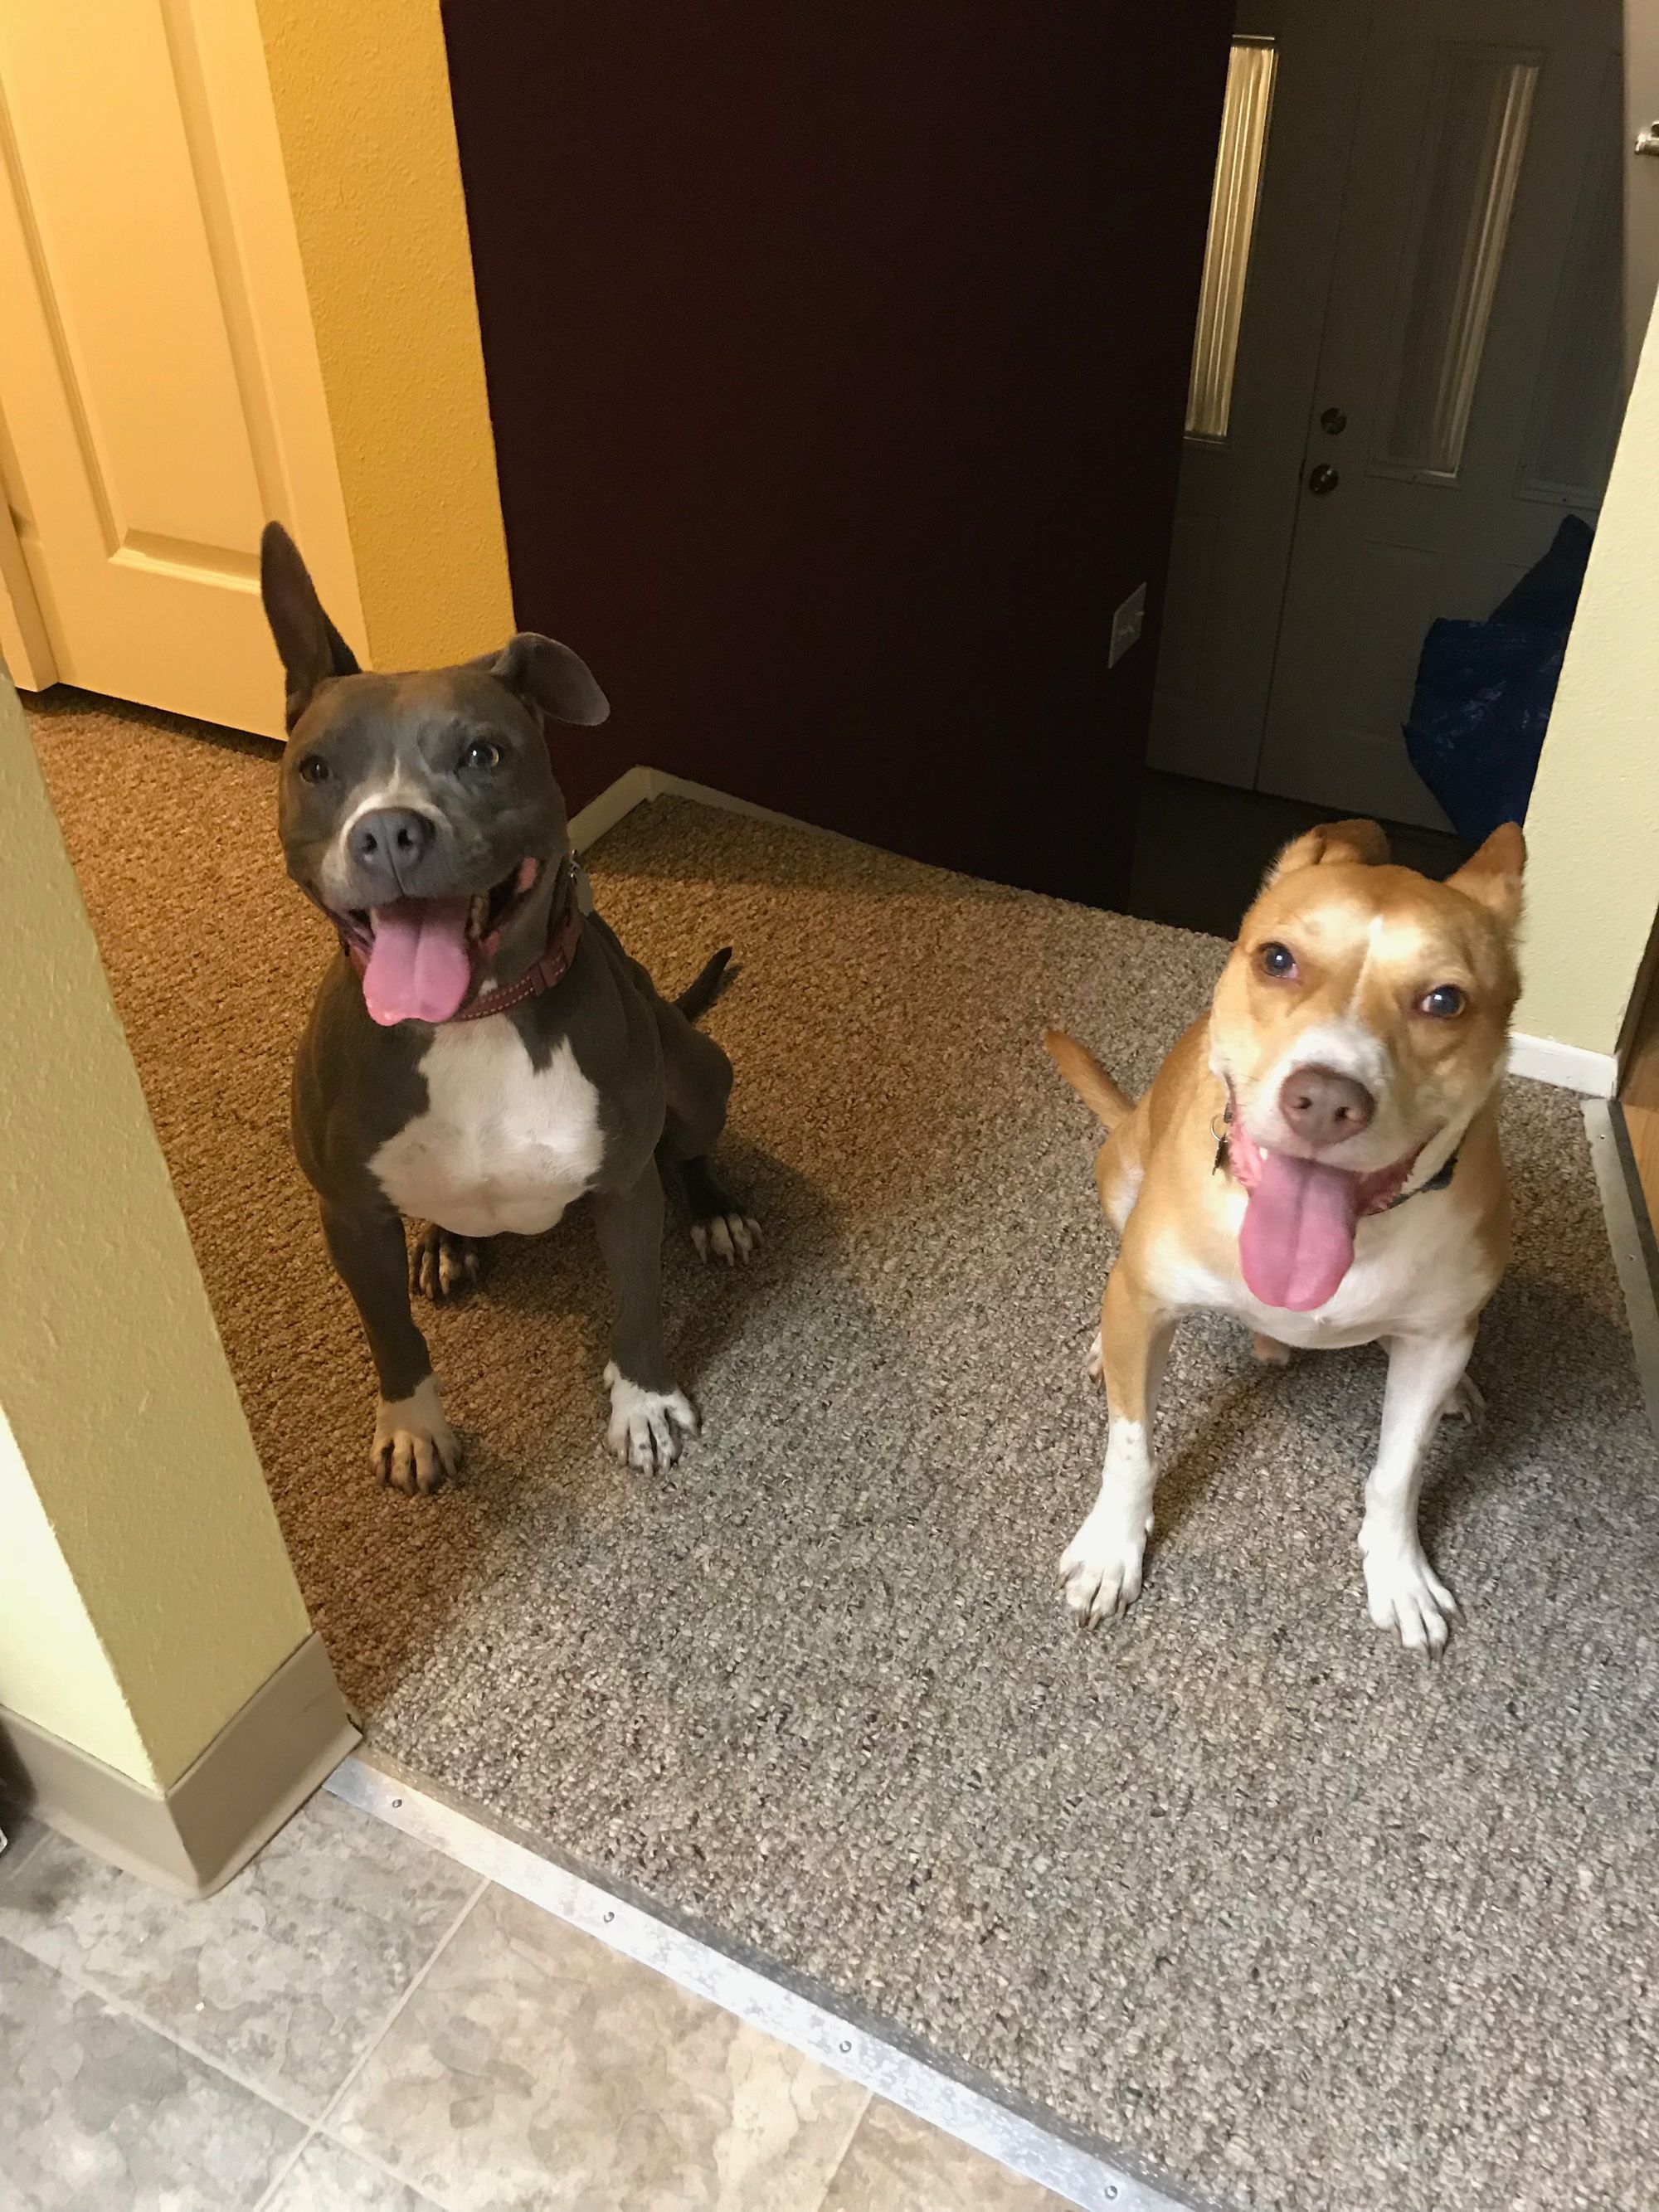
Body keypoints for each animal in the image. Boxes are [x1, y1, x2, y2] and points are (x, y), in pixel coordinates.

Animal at [259, 523, 756, 1495]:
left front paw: (643, 1405)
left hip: (694, 1068)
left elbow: (637, 1304)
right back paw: (444, 1243)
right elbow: (390, 1333)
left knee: (688, 1148)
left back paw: (715, 1211)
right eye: (317, 768)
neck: (471, 1025)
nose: (387, 830)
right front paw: (413, 1426)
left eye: (483, 755)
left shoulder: (623, 1187)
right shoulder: (348, 1215)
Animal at [1045, 817, 1525, 1651]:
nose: (1326, 1098)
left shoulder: (1434, 1341)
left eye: (1444, 1000)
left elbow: (1398, 1472)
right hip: (1120, 1178)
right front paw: (1112, 1550)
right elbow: (1131, 1446)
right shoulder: (1147, 1301)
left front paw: (1399, 1574)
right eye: (1277, 959)